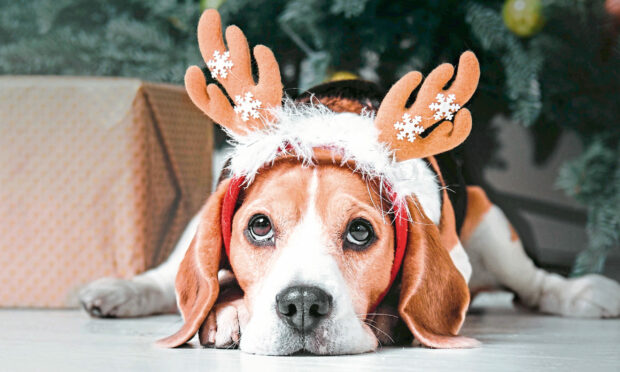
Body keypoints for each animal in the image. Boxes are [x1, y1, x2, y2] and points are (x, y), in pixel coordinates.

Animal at [80, 10, 620, 356]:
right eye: (259, 226)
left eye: (361, 232)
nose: (301, 304)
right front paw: (228, 311)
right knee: (166, 277)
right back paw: (121, 291)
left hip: (491, 222)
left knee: (536, 283)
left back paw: (583, 293)